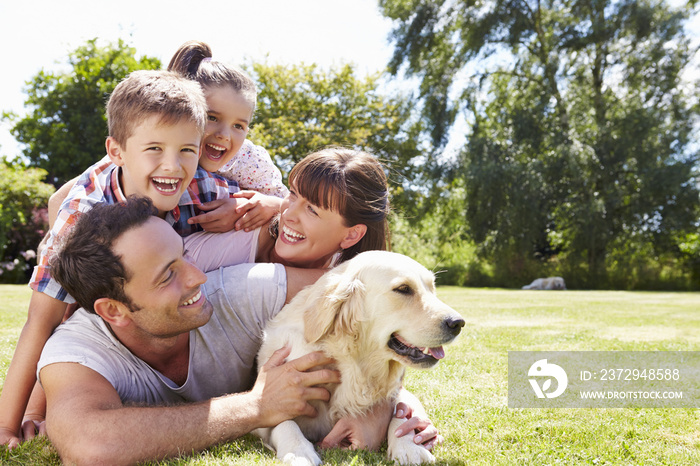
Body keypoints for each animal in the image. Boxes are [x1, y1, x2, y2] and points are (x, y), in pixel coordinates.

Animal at [253, 251, 464, 466]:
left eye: (432, 288)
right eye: (403, 289)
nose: (458, 323)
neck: (352, 364)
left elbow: (401, 411)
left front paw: (409, 447)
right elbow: (283, 421)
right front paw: (299, 451)